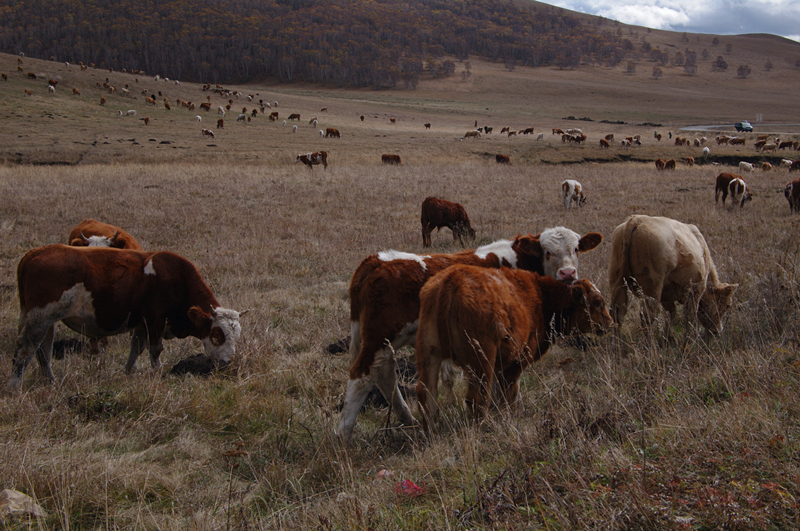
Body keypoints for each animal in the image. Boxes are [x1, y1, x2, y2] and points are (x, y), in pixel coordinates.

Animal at [4, 245, 242, 390]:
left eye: (236, 334)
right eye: (217, 334)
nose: (228, 362)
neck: (174, 277)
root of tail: (35, 253)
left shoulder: (140, 324)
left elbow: (136, 347)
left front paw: (129, 371)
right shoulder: (155, 320)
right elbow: (155, 349)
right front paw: (158, 373)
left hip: (46, 321)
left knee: (43, 351)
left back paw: (51, 381)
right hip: (39, 319)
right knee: (25, 349)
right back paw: (14, 385)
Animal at [412, 266, 612, 432]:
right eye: (598, 302)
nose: (609, 323)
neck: (541, 296)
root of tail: (453, 277)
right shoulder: (516, 361)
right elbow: (510, 392)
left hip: (429, 352)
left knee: (426, 393)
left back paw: (429, 431)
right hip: (482, 360)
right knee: (476, 397)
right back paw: (485, 426)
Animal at [608, 214, 740, 334]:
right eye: (727, 305)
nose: (717, 330)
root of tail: (636, 220)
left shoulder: (667, 296)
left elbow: (671, 314)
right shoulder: (696, 291)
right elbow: (690, 318)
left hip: (618, 283)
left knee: (617, 313)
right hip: (651, 290)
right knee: (647, 317)